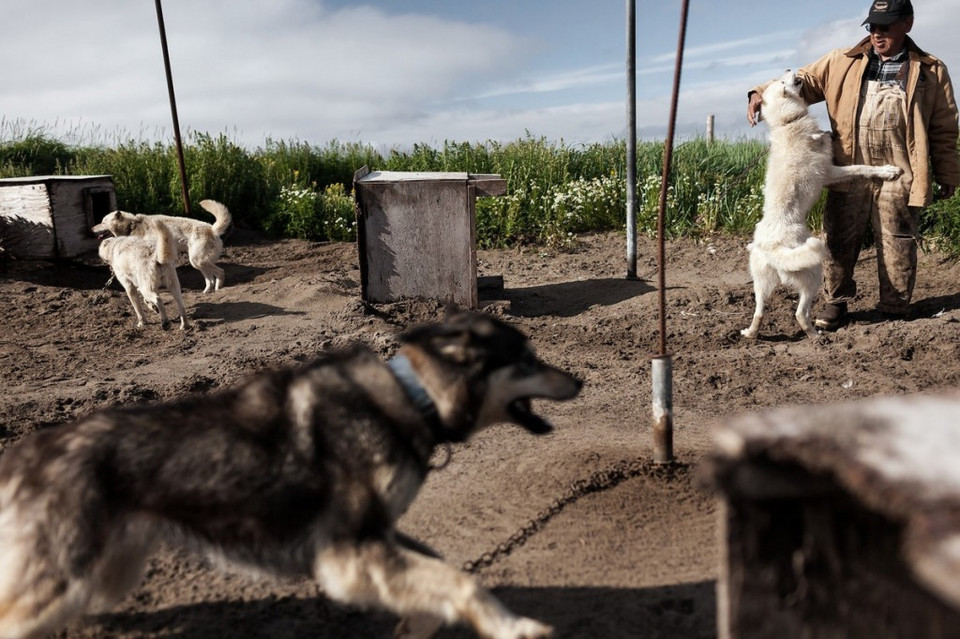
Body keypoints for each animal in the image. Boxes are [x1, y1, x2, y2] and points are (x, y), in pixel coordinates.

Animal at [93, 199, 232, 294]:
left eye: (102, 222)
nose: (91, 228)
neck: (131, 226)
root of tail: (213, 229)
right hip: (198, 263)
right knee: (210, 279)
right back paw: (206, 291)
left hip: (198, 261)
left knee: (220, 272)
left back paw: (218, 288)